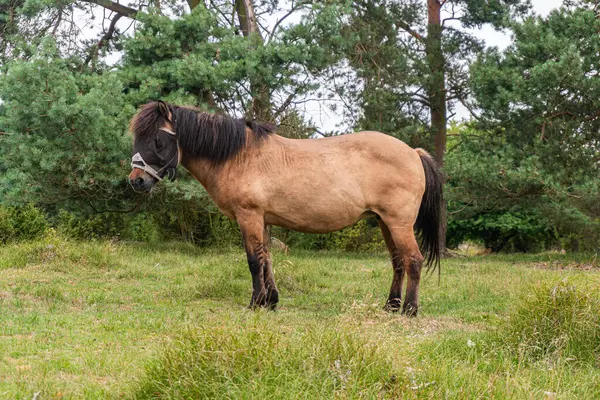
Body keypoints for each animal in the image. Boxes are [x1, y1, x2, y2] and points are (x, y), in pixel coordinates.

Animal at [127, 100, 446, 316]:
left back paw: (409, 309)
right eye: (136, 138)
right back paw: (390, 305)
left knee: (413, 260)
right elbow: (267, 259)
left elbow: (254, 260)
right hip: (384, 222)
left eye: (157, 139)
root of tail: (413, 152)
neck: (239, 155)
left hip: (399, 223)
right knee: (398, 261)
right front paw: (271, 301)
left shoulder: (249, 216)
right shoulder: (264, 220)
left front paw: (255, 303)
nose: (136, 181)